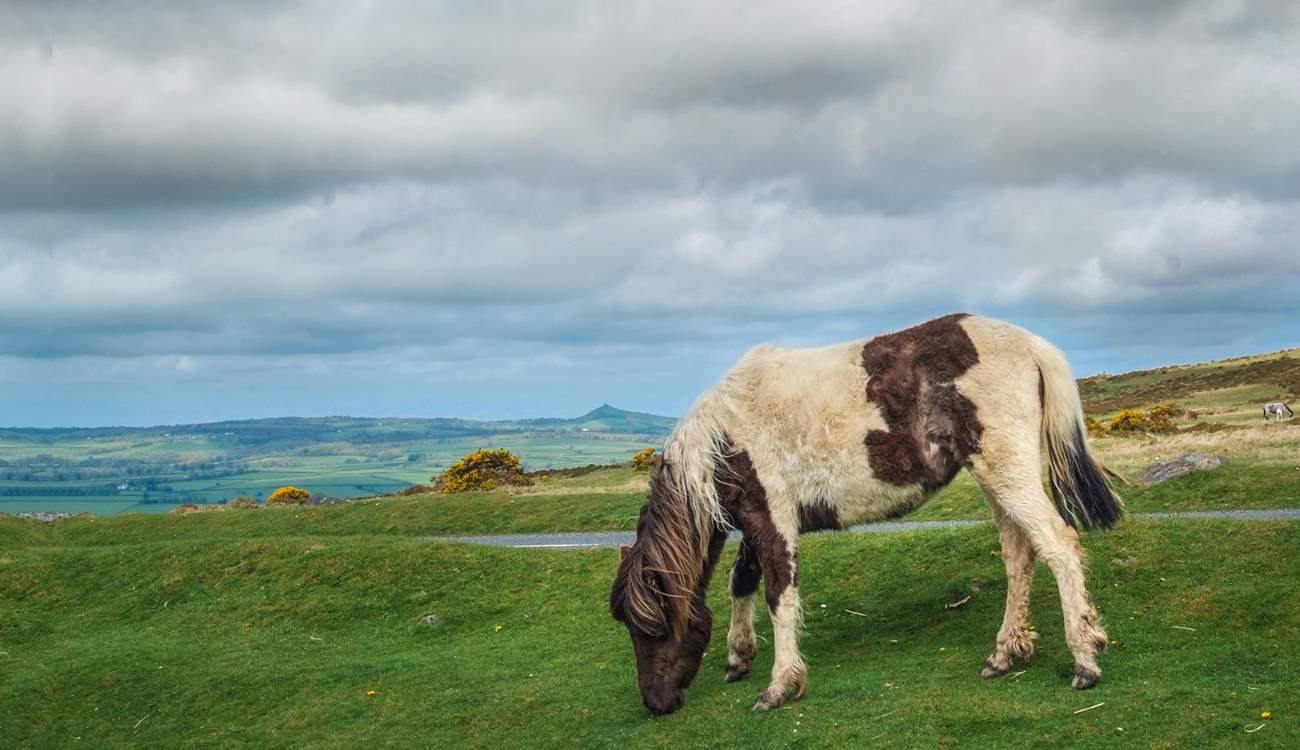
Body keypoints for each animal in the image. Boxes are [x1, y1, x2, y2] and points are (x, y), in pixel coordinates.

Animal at [610, 314, 1123, 715]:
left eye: (652, 629)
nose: (657, 704)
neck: (722, 437)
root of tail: (1028, 343)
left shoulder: (771, 519)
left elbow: (778, 595)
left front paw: (779, 686)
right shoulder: (754, 522)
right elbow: (743, 582)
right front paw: (739, 657)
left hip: (1007, 471)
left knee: (1058, 545)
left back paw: (1085, 660)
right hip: (994, 477)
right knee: (1019, 554)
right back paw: (1003, 655)